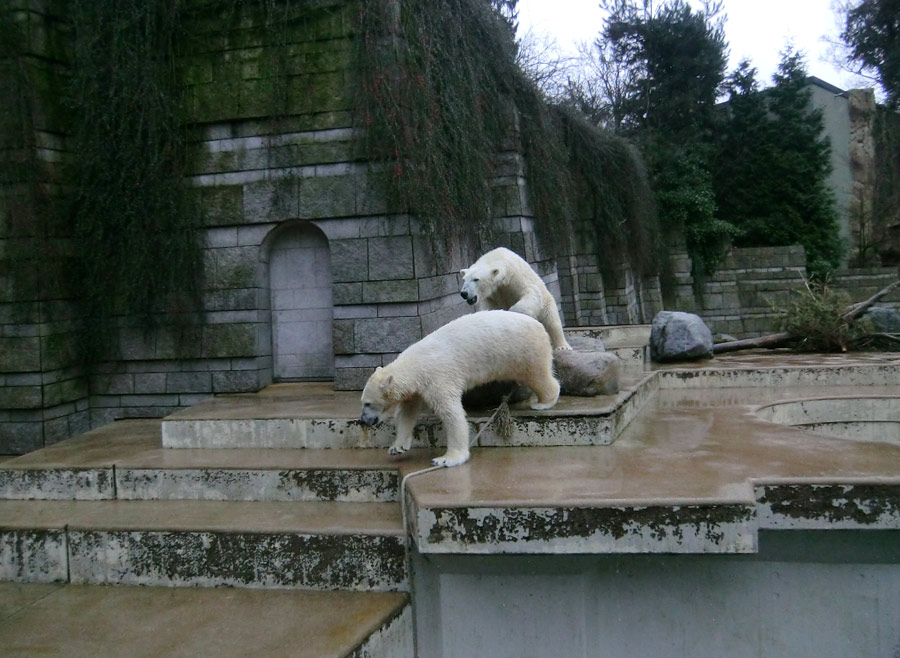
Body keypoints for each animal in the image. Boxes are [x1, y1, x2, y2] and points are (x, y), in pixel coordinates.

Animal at [356, 308, 556, 466]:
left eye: (367, 403)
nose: (362, 420)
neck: (415, 365)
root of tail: (539, 325)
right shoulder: (417, 389)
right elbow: (407, 413)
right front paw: (397, 447)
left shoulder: (437, 377)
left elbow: (451, 413)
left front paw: (447, 458)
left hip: (523, 351)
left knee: (537, 375)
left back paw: (543, 401)